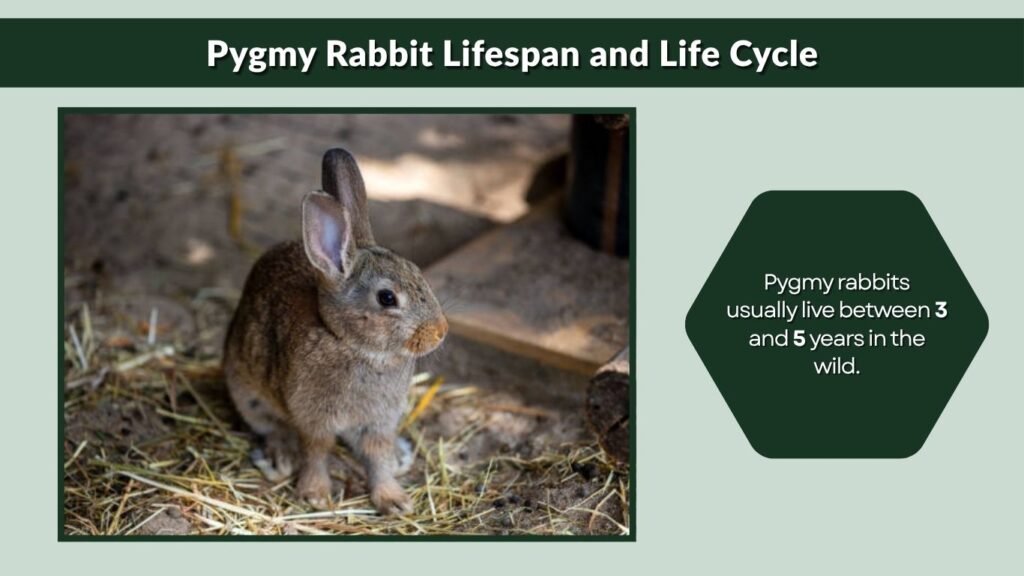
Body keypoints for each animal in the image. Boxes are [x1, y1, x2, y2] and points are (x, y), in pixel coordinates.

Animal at [223, 148, 448, 515]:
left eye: (418, 272)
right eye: (387, 298)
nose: (440, 332)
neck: (352, 344)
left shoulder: (379, 421)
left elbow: (376, 456)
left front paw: (394, 500)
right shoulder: (313, 417)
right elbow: (317, 450)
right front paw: (314, 494)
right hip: (246, 389)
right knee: (270, 426)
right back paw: (279, 457)